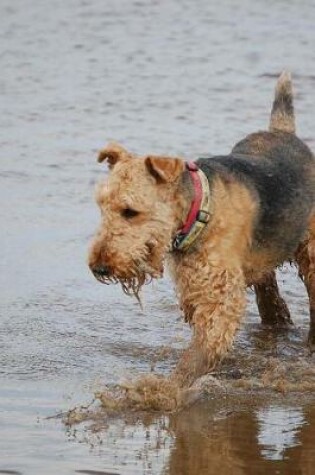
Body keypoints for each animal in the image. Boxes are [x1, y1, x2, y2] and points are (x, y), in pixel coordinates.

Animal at [88, 73, 315, 386]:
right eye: (101, 206)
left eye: (130, 211)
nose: (99, 267)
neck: (200, 210)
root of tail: (283, 132)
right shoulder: (194, 289)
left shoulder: (219, 294)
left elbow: (199, 353)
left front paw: (167, 389)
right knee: (270, 295)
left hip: (311, 252)